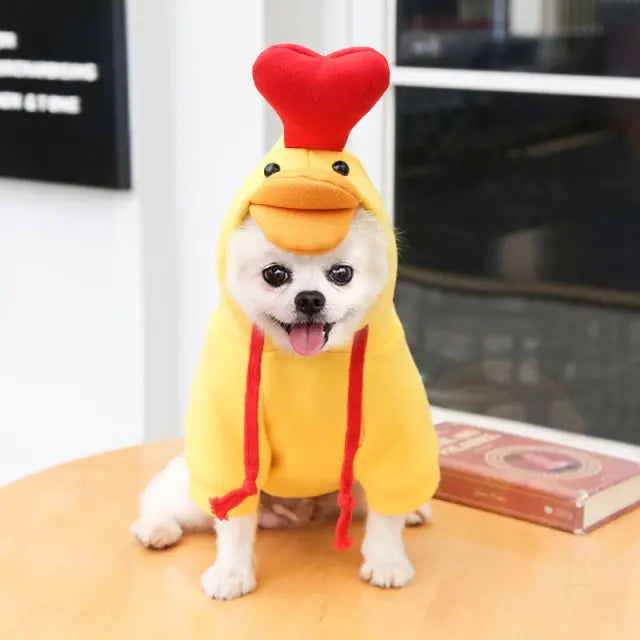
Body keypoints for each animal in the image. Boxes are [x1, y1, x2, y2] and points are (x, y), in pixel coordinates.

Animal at [130, 210, 430, 600]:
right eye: (274, 274)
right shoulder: (237, 444)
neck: (307, 362)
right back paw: (155, 528)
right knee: (161, 497)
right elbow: (233, 520)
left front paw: (387, 561)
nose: (310, 299)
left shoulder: (389, 442)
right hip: (189, 495)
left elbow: (387, 515)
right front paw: (231, 573)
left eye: (342, 273)